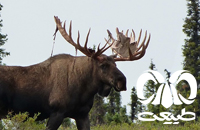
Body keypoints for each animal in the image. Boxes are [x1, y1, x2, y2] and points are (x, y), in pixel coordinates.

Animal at [0, 16, 151, 130]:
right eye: (103, 65)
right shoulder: (57, 112)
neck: (84, 90)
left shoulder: (82, 115)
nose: (122, 81)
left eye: (116, 64)